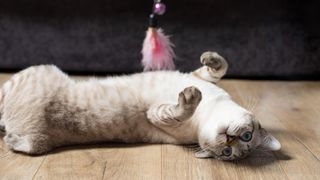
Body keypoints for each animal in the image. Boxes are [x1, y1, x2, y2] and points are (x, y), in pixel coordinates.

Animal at [0, 51, 280, 160]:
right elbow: (218, 67)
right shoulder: (199, 77)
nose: (229, 140)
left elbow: (178, 108)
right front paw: (209, 58)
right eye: (246, 136)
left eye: (228, 153)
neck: (209, 112)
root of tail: (36, 141)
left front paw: (191, 97)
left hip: (38, 71)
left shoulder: (156, 113)